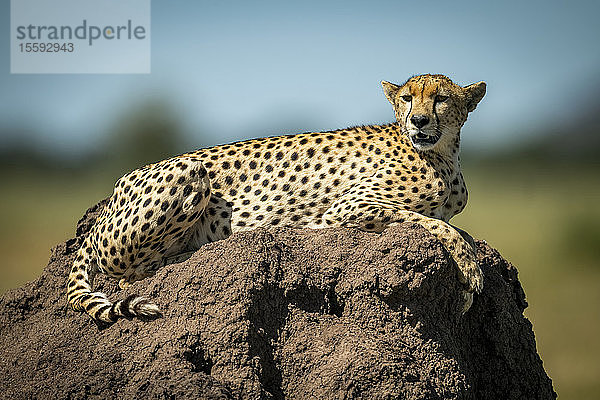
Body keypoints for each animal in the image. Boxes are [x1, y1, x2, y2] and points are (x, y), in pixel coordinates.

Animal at [67, 73, 488, 324]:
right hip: (188, 171)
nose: (418, 120)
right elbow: (433, 223)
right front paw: (470, 273)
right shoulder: (345, 209)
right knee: (128, 275)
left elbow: (447, 223)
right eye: (407, 98)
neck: (443, 155)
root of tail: (113, 193)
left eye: (441, 99)